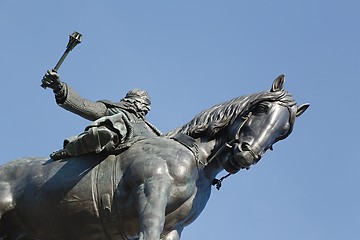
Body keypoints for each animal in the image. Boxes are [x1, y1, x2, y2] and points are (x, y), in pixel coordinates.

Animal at [0, 75, 310, 240]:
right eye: (261, 109)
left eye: (283, 132)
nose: (245, 155)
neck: (193, 161)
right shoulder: (150, 195)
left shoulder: (173, 228)